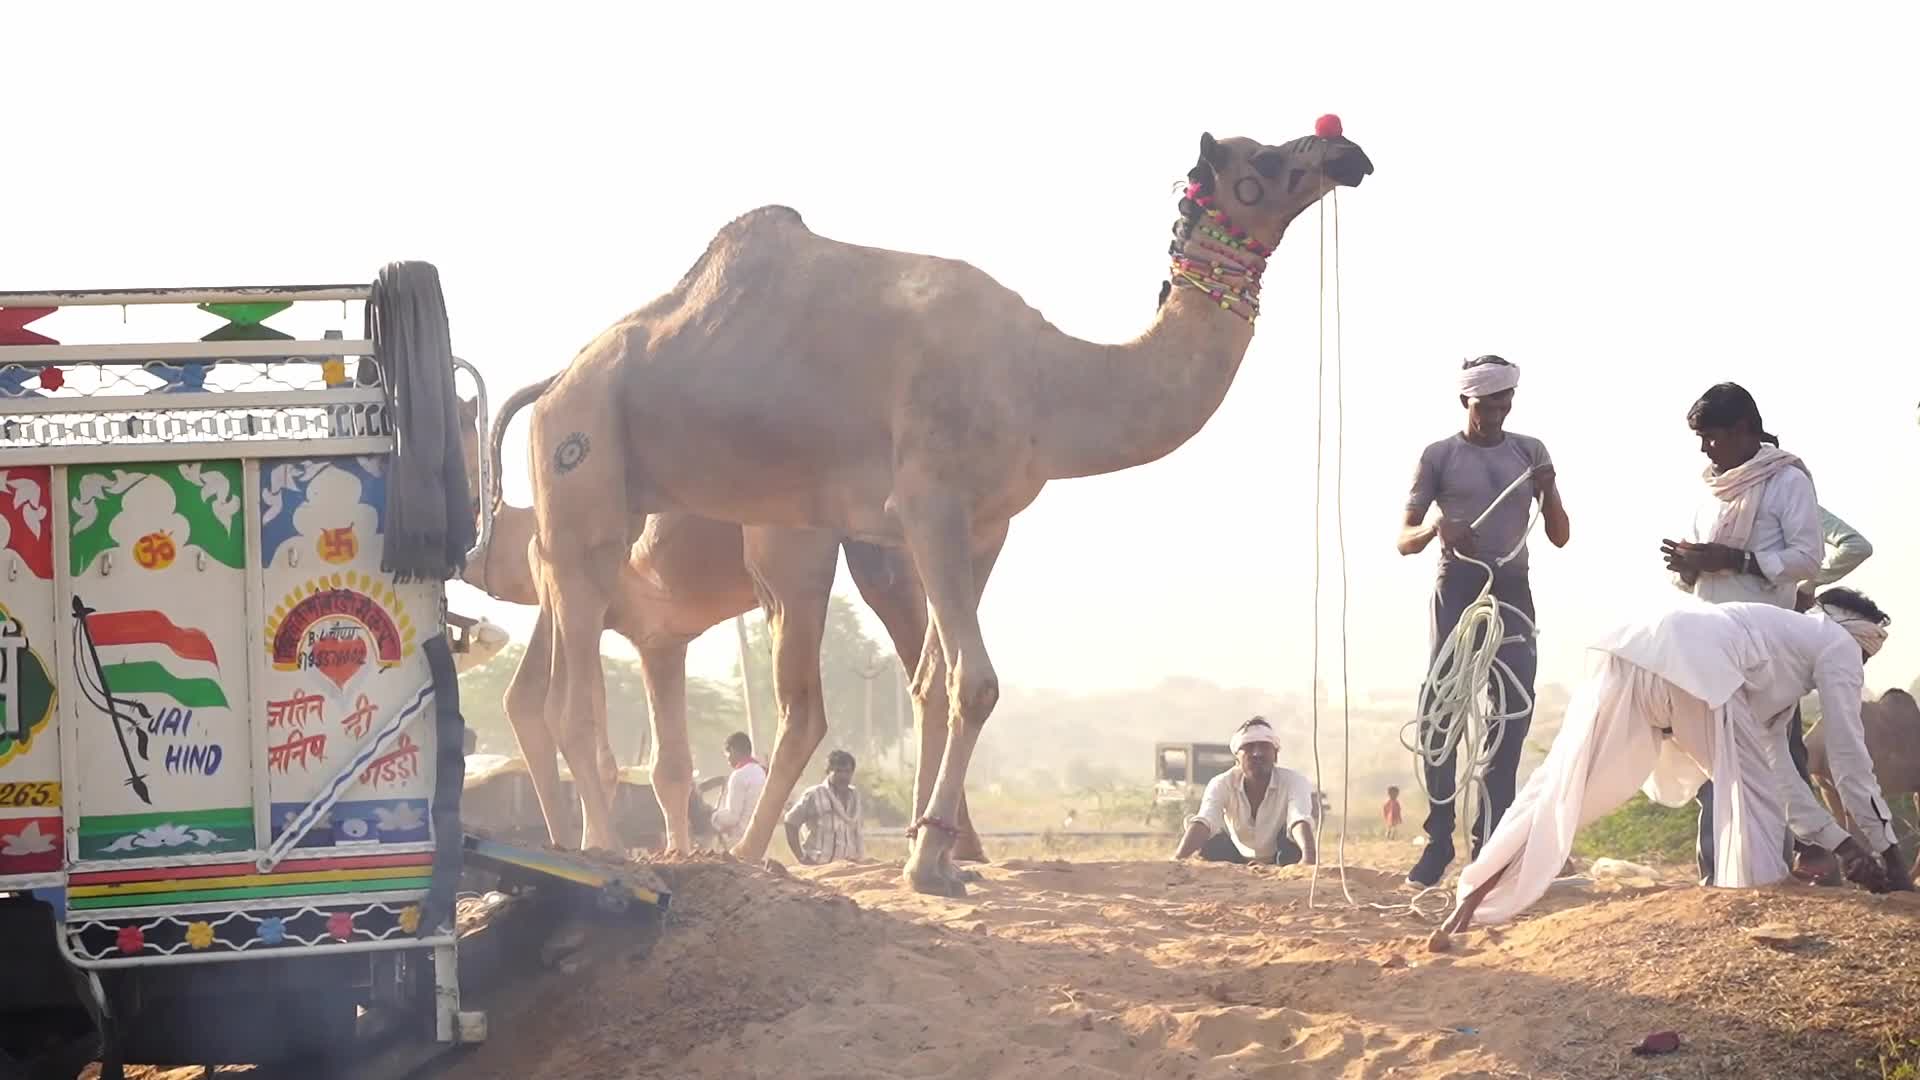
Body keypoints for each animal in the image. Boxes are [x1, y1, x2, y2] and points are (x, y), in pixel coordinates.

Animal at [450, 394, 986, 859]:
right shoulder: (654, 634)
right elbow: (665, 765)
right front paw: (664, 850)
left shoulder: (578, 597)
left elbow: (540, 708)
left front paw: (589, 844)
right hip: (879, 547)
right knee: (923, 663)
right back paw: (954, 848)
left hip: (795, 549)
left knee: (809, 707)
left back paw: (752, 850)